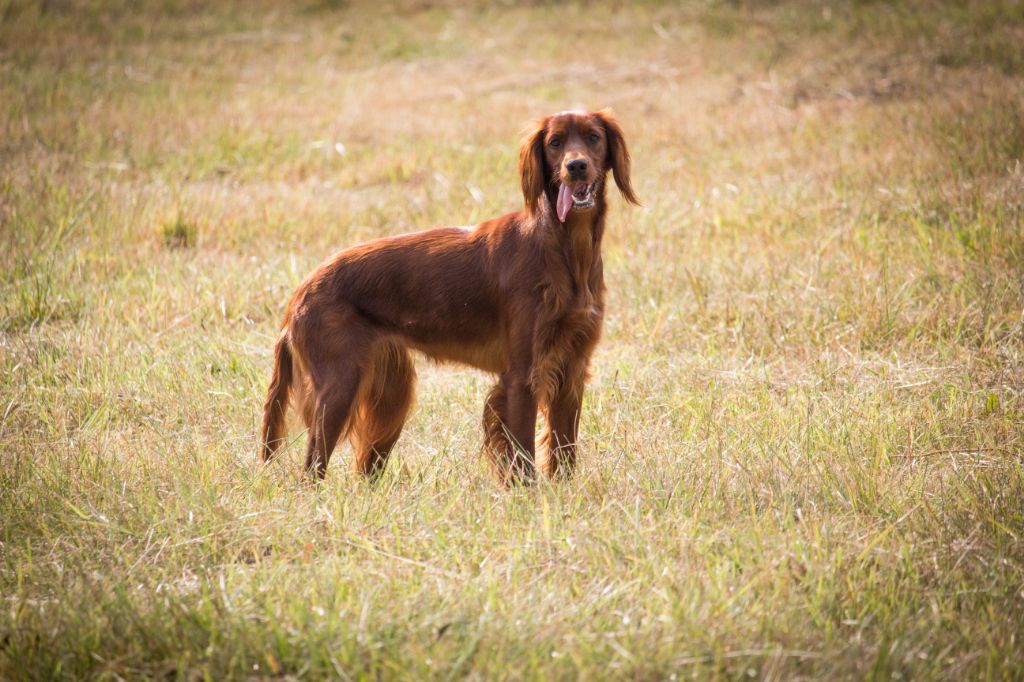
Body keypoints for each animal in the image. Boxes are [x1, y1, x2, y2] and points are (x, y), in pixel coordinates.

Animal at [260, 109, 634, 481]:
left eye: (593, 137)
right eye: (555, 143)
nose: (576, 166)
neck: (566, 247)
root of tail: (299, 296)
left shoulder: (571, 367)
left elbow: (563, 451)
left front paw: (563, 492)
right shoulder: (523, 376)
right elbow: (523, 456)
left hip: (390, 393)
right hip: (339, 385)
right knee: (312, 468)